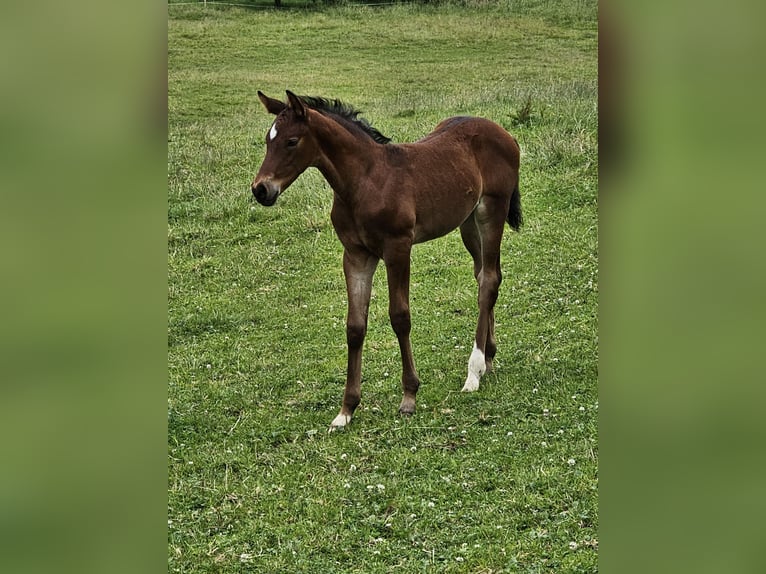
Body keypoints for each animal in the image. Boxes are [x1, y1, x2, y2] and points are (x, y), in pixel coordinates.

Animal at [252, 91, 520, 432]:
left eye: (291, 141)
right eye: (267, 140)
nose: (261, 190)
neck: (364, 182)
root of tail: (503, 132)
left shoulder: (397, 248)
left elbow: (400, 317)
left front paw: (409, 396)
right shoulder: (355, 255)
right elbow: (355, 326)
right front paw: (346, 410)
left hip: (492, 211)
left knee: (488, 281)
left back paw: (474, 371)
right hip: (468, 221)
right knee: (485, 274)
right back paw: (488, 358)